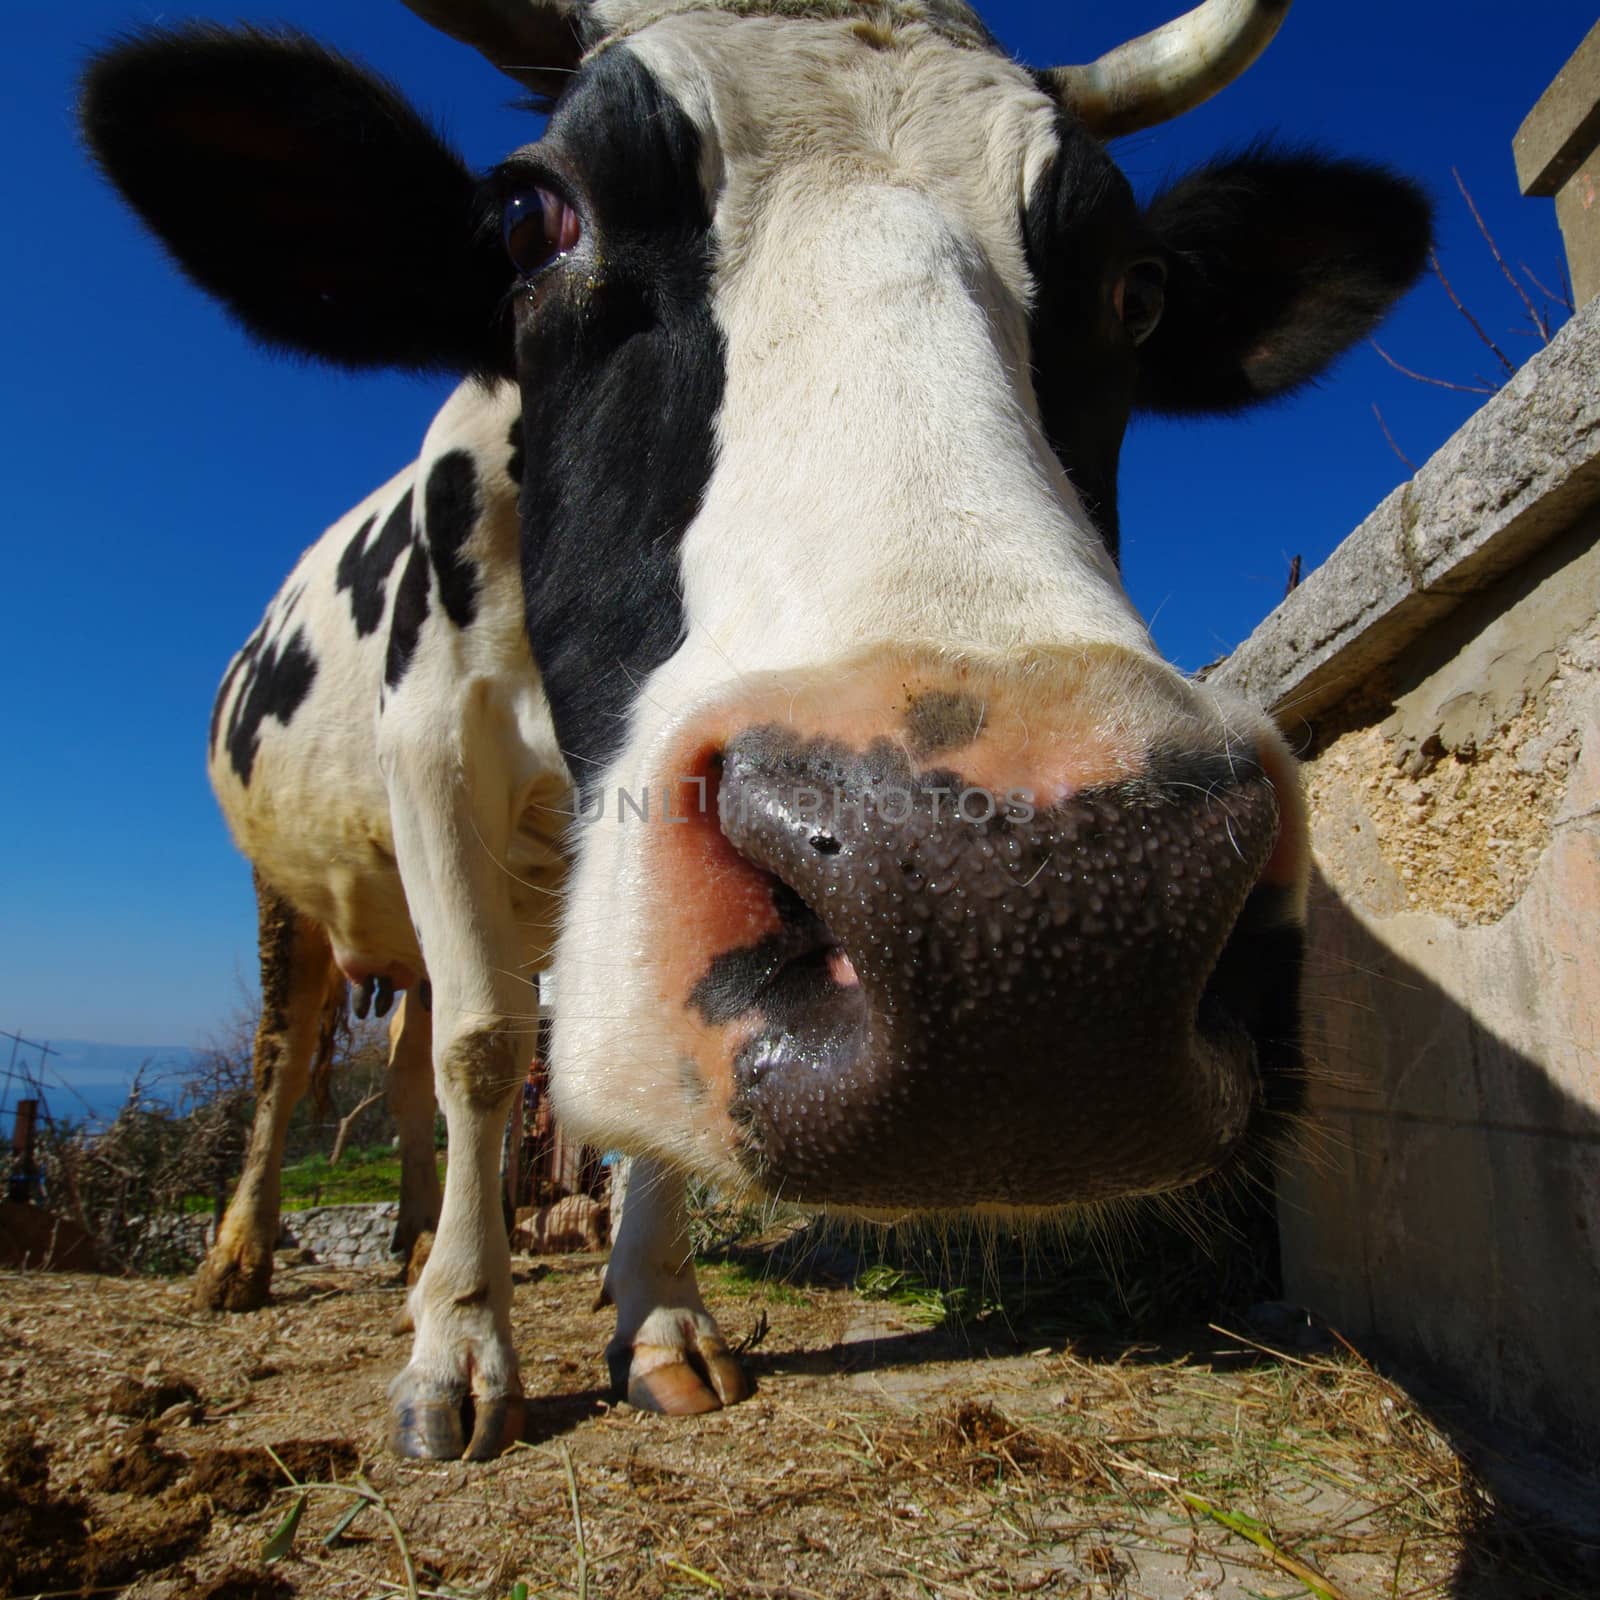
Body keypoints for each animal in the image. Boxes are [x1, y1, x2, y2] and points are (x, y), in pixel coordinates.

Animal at [81, 0, 1433, 1459]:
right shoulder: (430, 747)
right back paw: (245, 1259)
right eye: (528, 219)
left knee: (394, 1070)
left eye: (1138, 289)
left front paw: (658, 1319)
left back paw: (406, 1248)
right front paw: (460, 1353)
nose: (1033, 929)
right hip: (288, 888)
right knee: (291, 1061)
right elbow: (487, 1044)